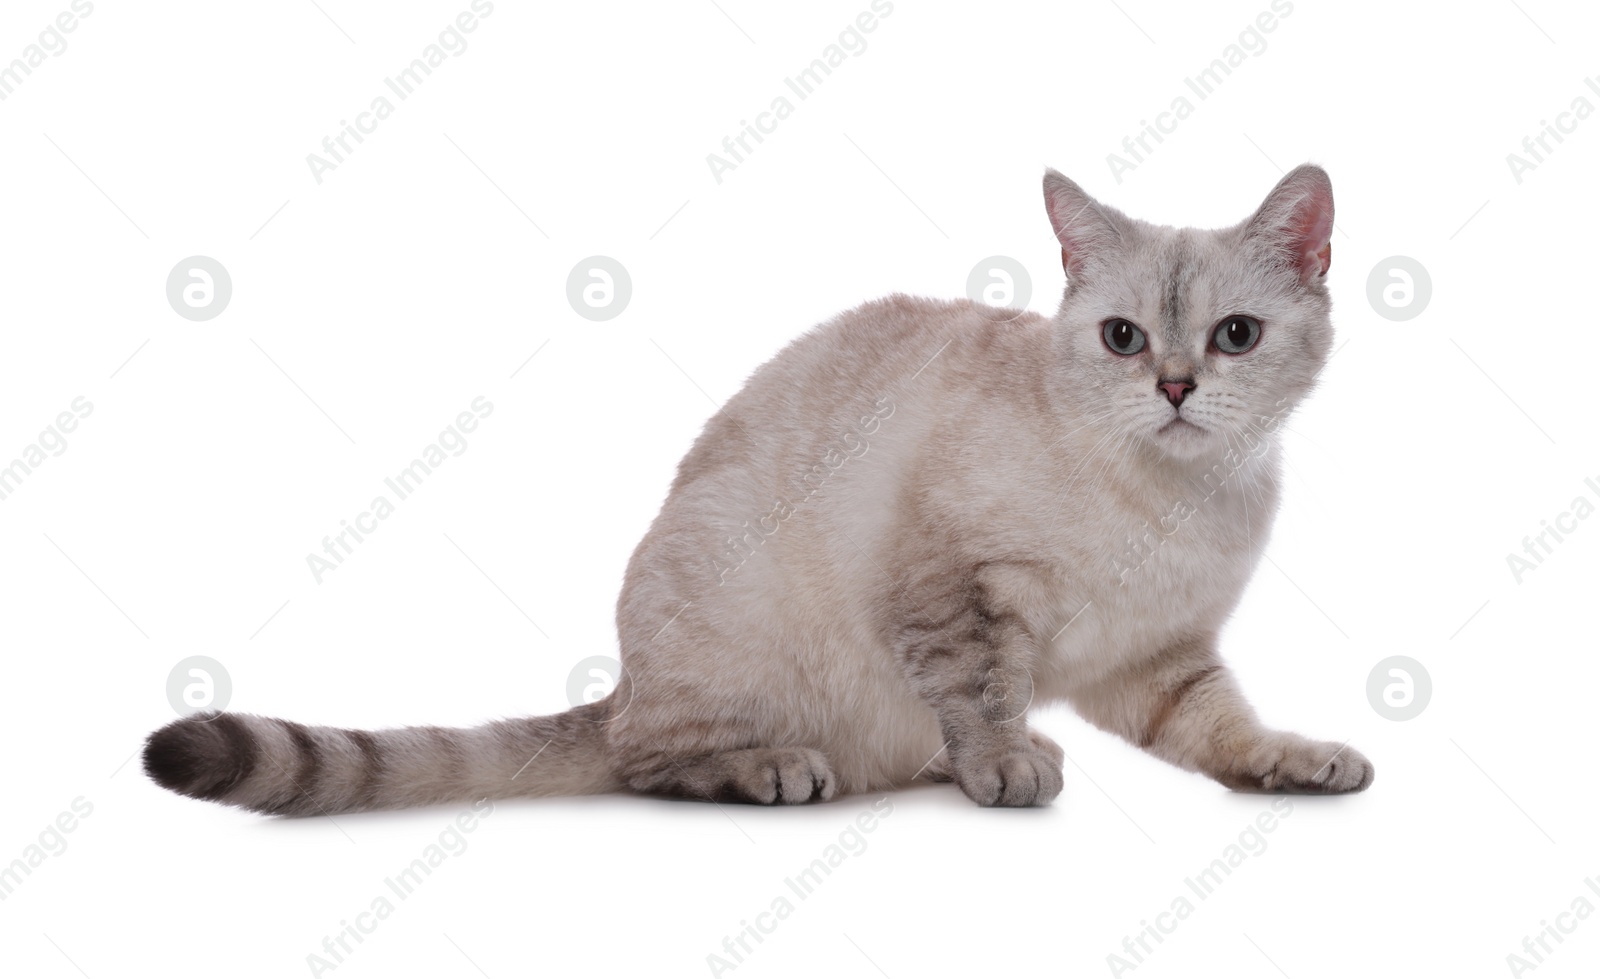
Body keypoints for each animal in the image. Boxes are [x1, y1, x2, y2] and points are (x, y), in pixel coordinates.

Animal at [144, 164, 1376, 815]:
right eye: (1122, 337)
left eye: (1233, 336)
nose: (1172, 386)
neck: (1170, 497)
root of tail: (623, 684)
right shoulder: (948, 588)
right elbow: (982, 691)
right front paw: (1008, 765)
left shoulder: (1157, 659)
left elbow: (1221, 728)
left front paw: (1295, 761)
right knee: (647, 761)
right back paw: (779, 766)